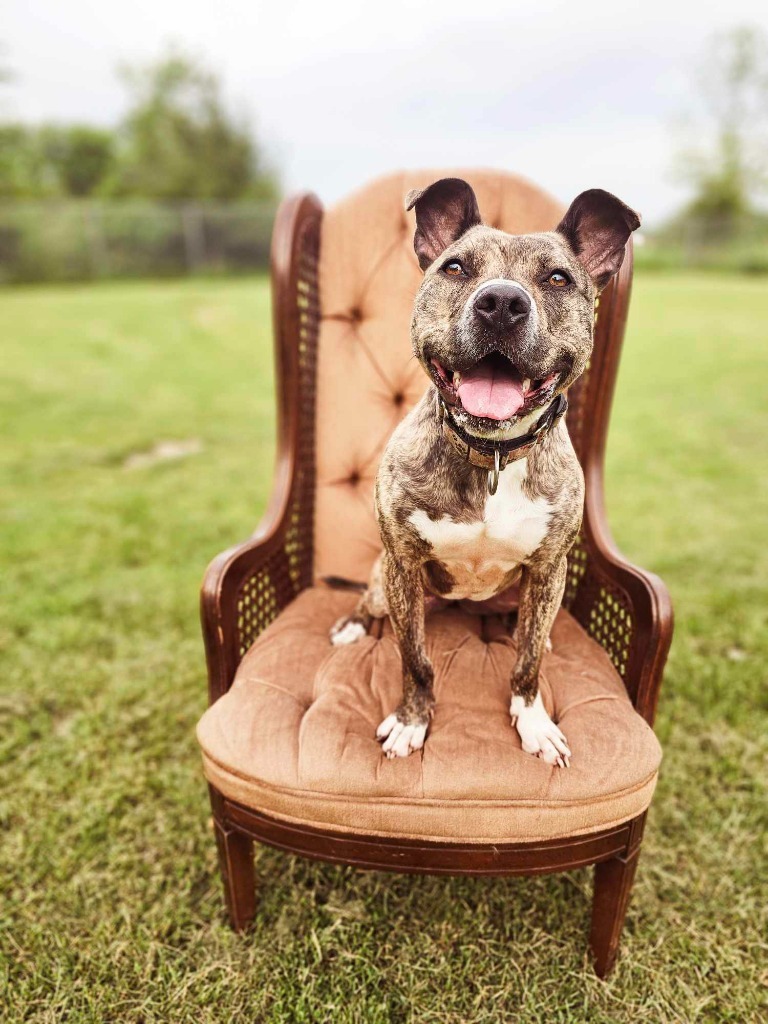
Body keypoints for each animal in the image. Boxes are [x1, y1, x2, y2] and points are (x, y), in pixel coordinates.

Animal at [327, 178, 638, 770]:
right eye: (455, 268)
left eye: (557, 278)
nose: (502, 303)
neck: (492, 453)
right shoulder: (402, 567)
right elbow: (414, 659)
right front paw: (412, 720)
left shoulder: (548, 570)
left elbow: (528, 664)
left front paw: (533, 721)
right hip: (382, 583)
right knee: (366, 601)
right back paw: (353, 625)